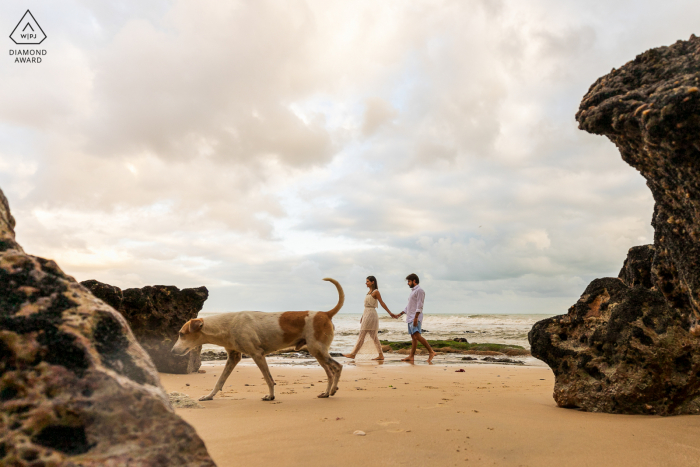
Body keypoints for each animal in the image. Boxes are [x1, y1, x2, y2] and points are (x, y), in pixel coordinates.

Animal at [170, 278, 344, 402]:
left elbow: (268, 378)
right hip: (317, 352)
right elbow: (220, 381)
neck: (227, 325)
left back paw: (331, 390)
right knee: (330, 372)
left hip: (317, 350)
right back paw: (327, 392)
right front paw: (209, 396)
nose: (172, 351)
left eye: (181, 334)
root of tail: (325, 313)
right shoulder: (233, 357)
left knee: (337, 367)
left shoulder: (257, 355)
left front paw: (270, 396)